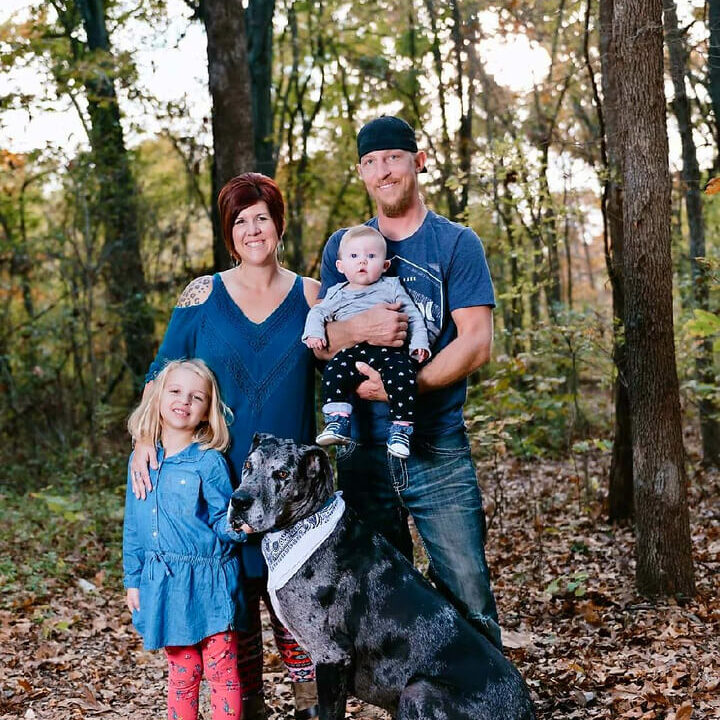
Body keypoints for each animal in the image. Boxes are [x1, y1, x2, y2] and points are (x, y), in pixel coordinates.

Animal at [228, 434, 536, 720]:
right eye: (248, 466)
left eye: (282, 474)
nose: (239, 501)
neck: (304, 523)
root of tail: (527, 711)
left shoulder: (332, 656)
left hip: (418, 690)